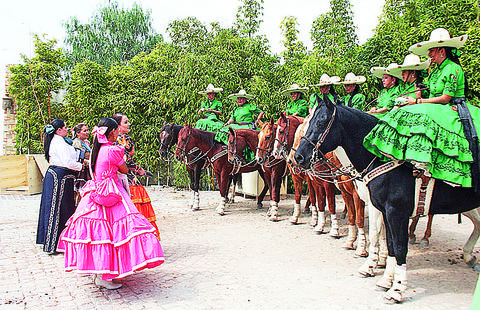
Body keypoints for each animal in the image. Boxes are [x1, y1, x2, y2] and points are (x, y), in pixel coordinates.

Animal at [292, 98, 480, 302]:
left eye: (319, 123)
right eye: (308, 122)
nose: (298, 157)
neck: (381, 159)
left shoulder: (395, 212)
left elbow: (397, 246)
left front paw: (397, 289)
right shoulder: (381, 208)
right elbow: (386, 242)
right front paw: (384, 278)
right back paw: (469, 256)